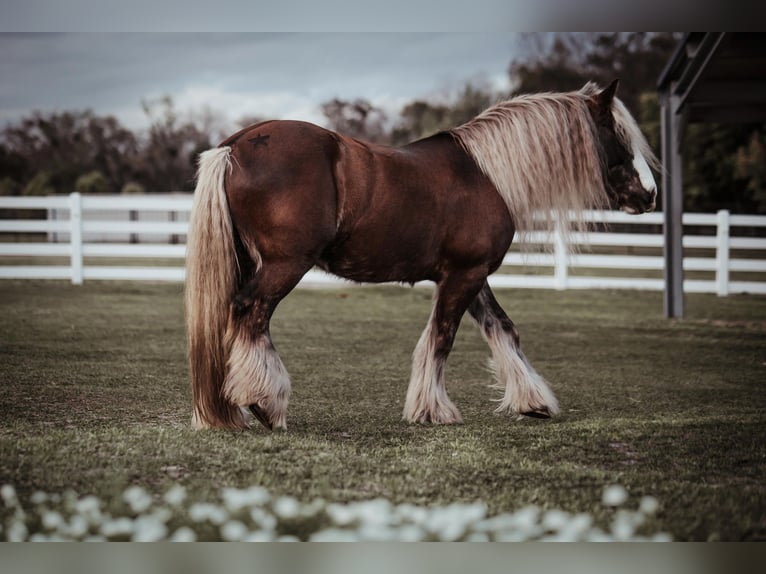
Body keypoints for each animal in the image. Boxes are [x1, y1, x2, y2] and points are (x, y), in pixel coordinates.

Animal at [184, 81, 660, 432]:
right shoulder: (464, 275)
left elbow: (503, 329)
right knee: (252, 313)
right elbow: (442, 337)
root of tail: (236, 145)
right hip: (284, 265)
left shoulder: (473, 275)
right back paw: (264, 403)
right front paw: (433, 410)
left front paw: (533, 401)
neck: (487, 175)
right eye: (618, 134)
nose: (650, 194)